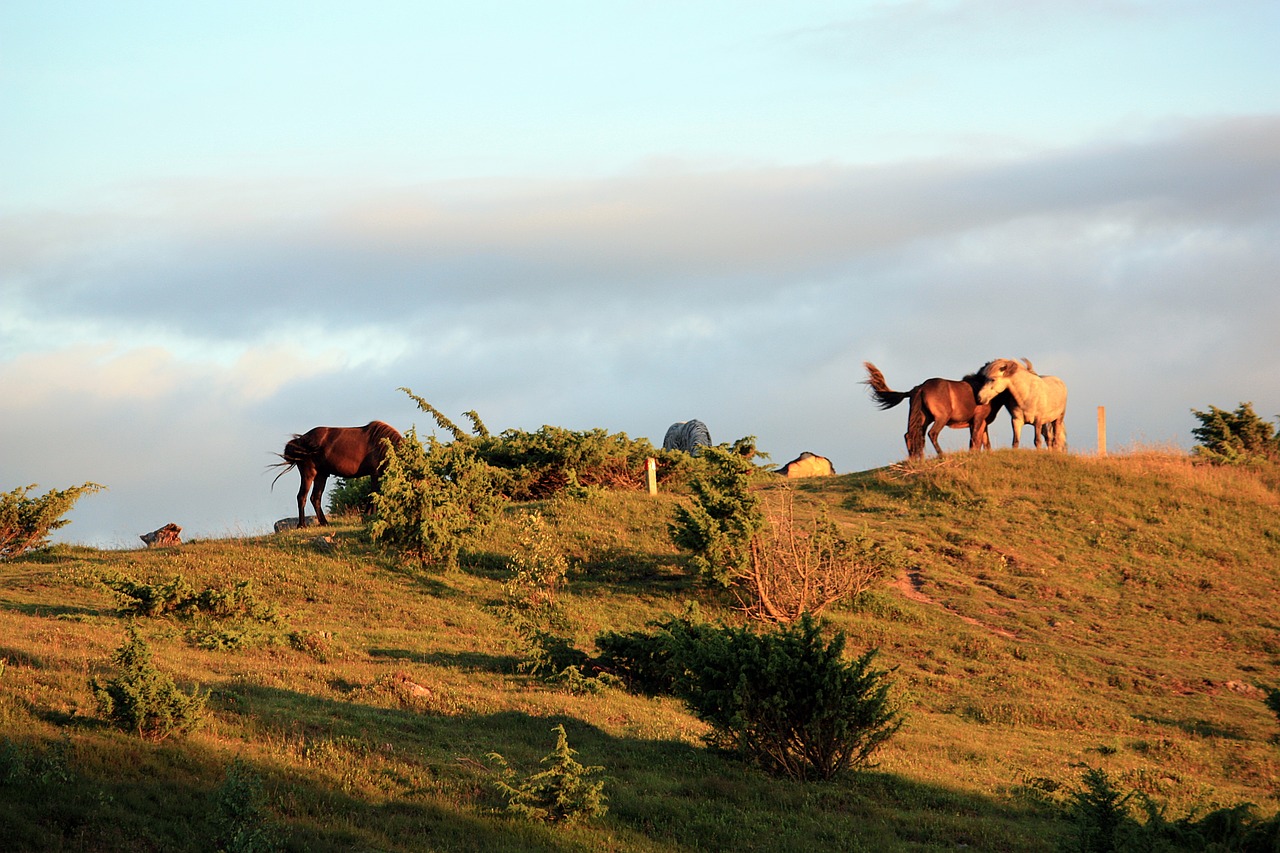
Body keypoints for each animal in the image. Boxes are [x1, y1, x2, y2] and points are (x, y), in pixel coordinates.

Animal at [272, 417, 401, 525]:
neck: (383, 445)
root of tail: (300, 441)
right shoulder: (375, 473)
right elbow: (373, 495)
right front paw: (368, 517)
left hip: (321, 475)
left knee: (315, 498)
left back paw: (324, 523)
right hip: (308, 474)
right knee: (302, 497)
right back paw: (302, 525)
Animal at [865, 361, 1013, 461]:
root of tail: (919, 388)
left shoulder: (982, 423)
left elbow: (985, 442)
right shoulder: (977, 420)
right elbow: (975, 441)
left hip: (923, 419)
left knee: (913, 435)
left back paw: (916, 460)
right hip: (941, 418)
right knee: (931, 434)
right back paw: (941, 455)